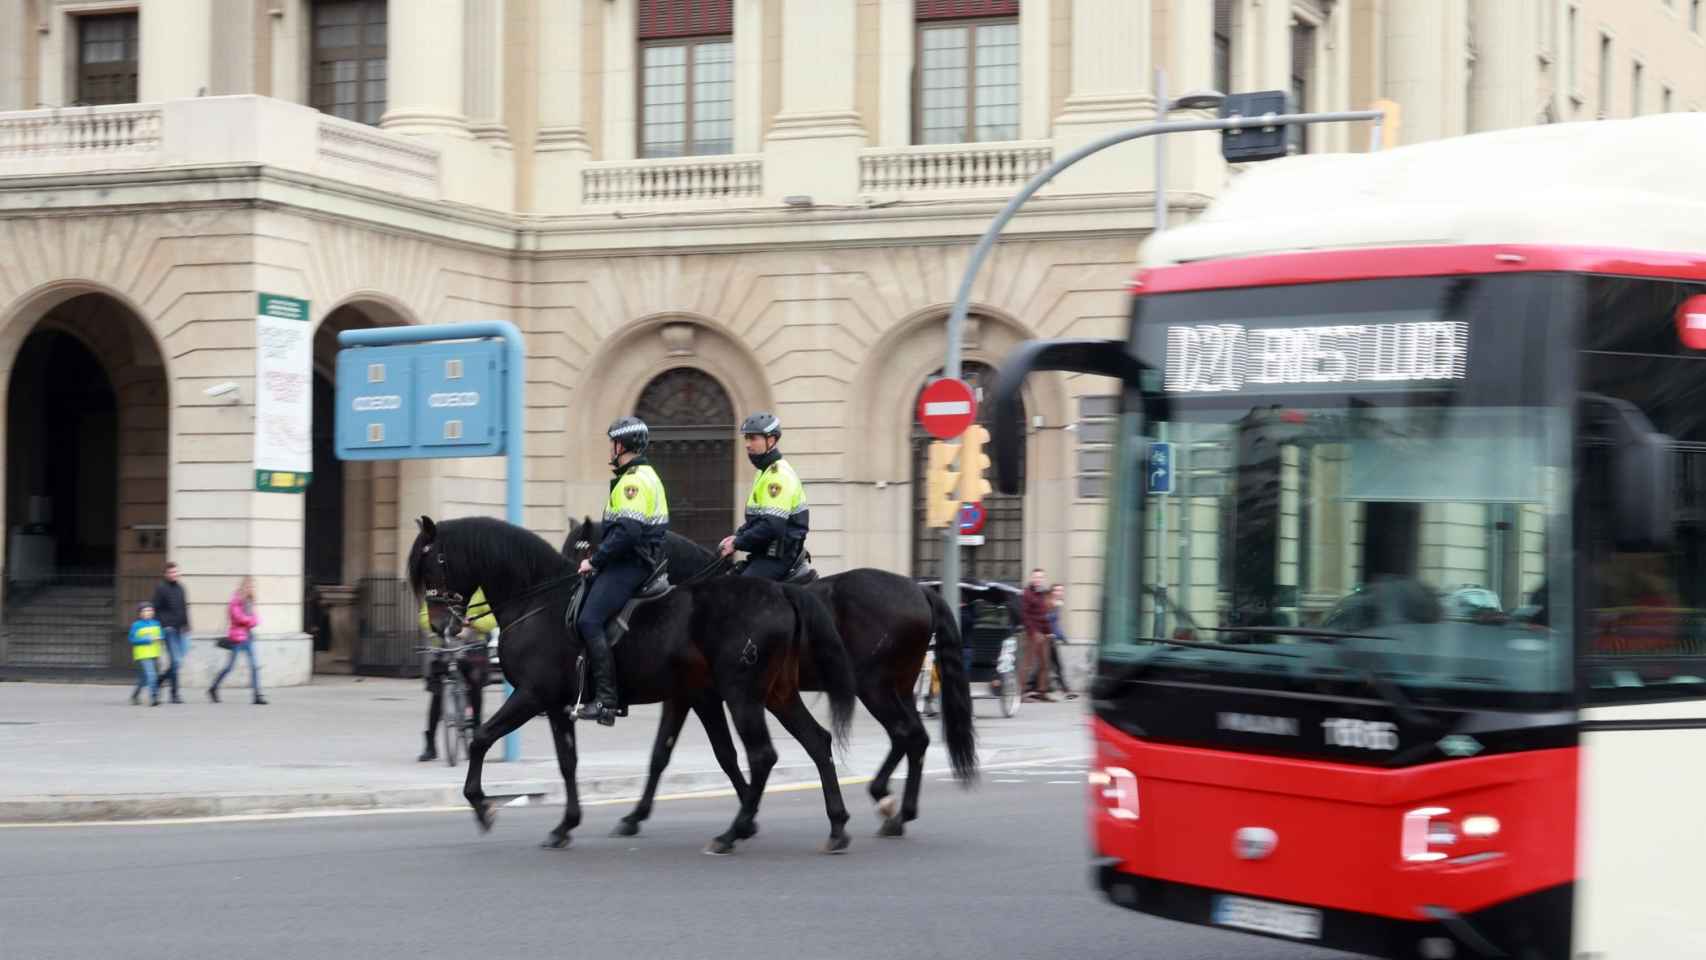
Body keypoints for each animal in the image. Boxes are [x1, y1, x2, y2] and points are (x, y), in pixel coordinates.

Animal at [411, 518, 859, 855]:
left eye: (434, 561)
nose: (440, 626)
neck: (538, 605)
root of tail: (782, 592)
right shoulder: (564, 704)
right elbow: (576, 762)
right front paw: (567, 825)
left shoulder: (533, 695)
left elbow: (482, 738)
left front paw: (482, 806)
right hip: (776, 694)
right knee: (816, 741)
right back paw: (835, 827)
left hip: (743, 694)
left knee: (764, 755)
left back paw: (733, 833)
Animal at [569, 514, 982, 838]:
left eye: (579, 550)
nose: (574, 590)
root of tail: (920, 590)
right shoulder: (686, 695)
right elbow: (663, 755)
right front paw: (637, 816)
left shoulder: (700, 695)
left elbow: (707, 754)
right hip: (898, 687)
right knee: (914, 738)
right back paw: (897, 810)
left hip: (874, 687)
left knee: (904, 734)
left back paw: (884, 800)